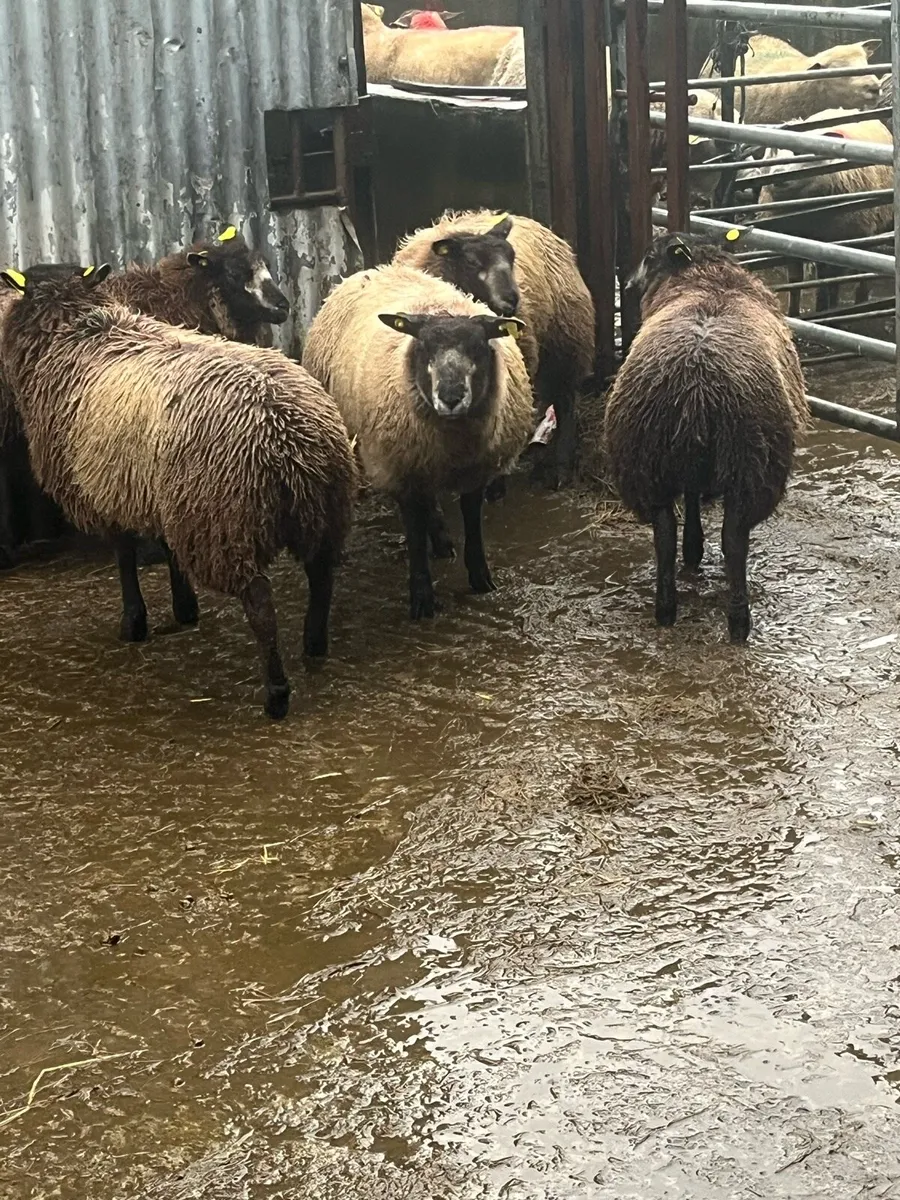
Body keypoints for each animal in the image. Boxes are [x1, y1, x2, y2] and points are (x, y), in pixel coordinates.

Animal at [0, 263, 357, 719]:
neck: (80, 331)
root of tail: (290, 429)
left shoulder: (101, 491)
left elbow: (124, 557)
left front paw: (134, 622)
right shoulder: (157, 492)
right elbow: (168, 550)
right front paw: (184, 607)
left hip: (224, 521)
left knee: (260, 601)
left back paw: (276, 692)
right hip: (321, 508)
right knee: (321, 572)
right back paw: (314, 644)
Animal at [301, 263, 533, 621]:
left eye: (478, 346)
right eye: (423, 346)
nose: (450, 397)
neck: (453, 444)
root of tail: (372, 269)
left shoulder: (474, 470)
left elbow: (472, 521)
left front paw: (480, 577)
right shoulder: (402, 470)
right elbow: (413, 531)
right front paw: (422, 596)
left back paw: (442, 542)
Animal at [393, 210, 595, 489]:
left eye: (512, 258)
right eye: (471, 261)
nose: (512, 299)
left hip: (565, 345)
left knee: (564, 403)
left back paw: (560, 467)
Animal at [603, 232, 808, 642]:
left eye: (648, 257)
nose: (628, 285)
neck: (708, 279)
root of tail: (696, 384)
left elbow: (692, 501)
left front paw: (694, 549)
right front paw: (696, 551)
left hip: (648, 461)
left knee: (664, 534)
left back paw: (666, 608)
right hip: (751, 465)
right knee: (734, 539)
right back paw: (739, 621)